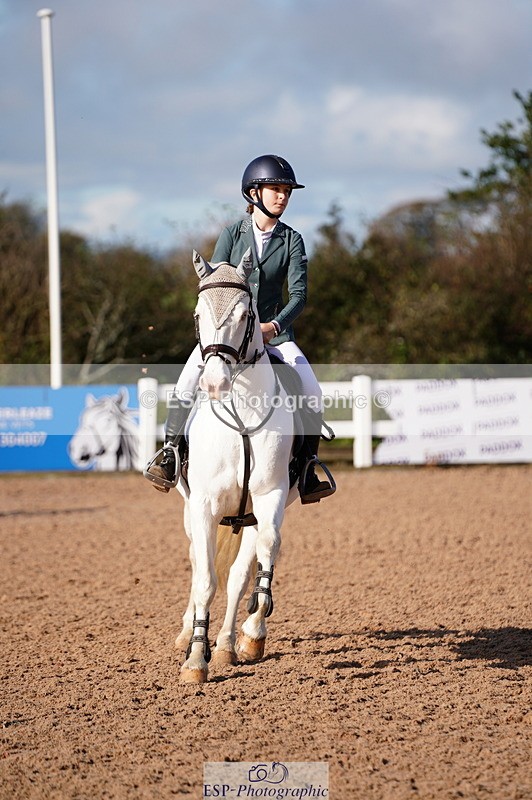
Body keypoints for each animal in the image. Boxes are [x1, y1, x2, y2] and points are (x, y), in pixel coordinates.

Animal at [174, 249, 299, 683]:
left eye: (247, 314)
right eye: (197, 314)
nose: (214, 383)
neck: (241, 413)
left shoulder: (270, 496)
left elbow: (263, 556)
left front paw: (252, 632)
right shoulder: (203, 505)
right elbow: (205, 580)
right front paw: (196, 658)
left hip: (246, 516)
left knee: (238, 574)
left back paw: (229, 644)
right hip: (192, 512)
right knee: (198, 563)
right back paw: (186, 633)